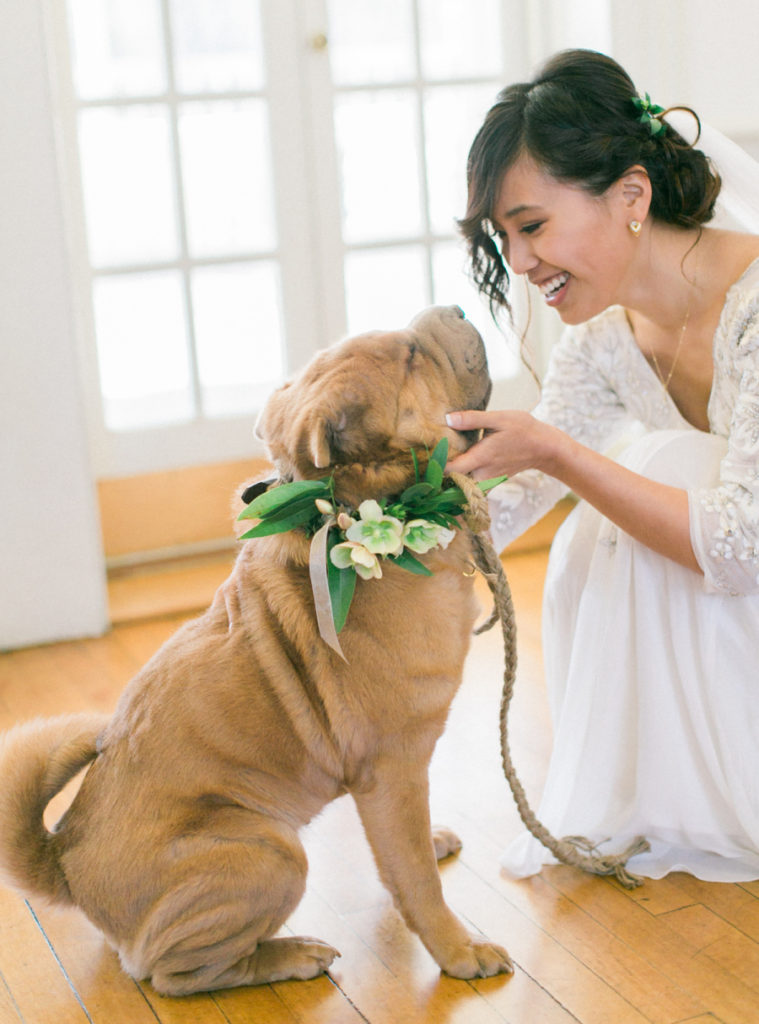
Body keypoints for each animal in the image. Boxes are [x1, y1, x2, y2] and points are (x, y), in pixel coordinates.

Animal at [0, 303, 512, 991]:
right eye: (409, 355)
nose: (454, 308)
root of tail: (65, 858)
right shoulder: (394, 764)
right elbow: (419, 884)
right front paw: (459, 951)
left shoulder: (389, 785)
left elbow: (399, 855)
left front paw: (429, 845)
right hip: (271, 852)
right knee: (177, 974)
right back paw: (289, 956)